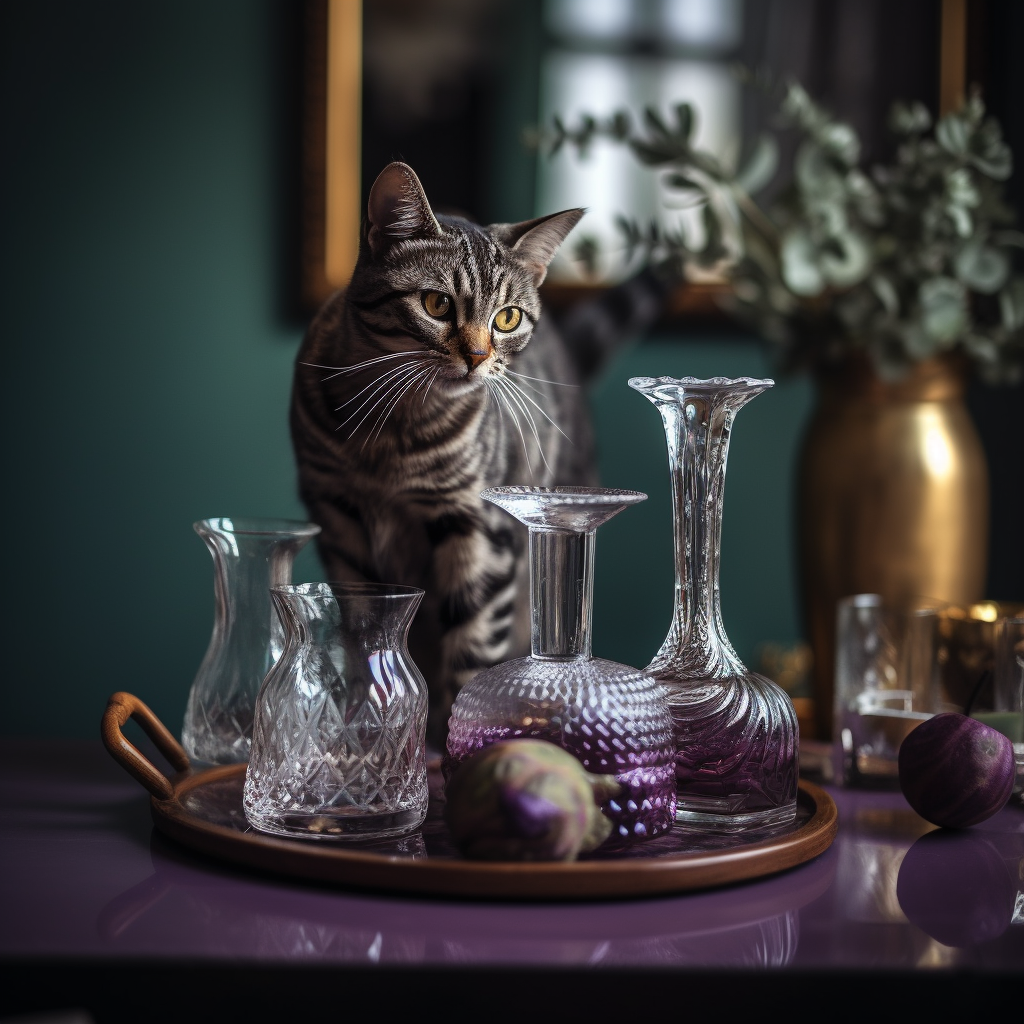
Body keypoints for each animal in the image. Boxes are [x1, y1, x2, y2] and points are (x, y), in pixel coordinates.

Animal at [292, 161, 663, 745]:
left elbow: (470, 653)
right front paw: (365, 725)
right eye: (437, 304)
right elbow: (363, 637)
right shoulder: (339, 520)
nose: (477, 355)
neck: (391, 435)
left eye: (507, 318)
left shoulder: (481, 530)